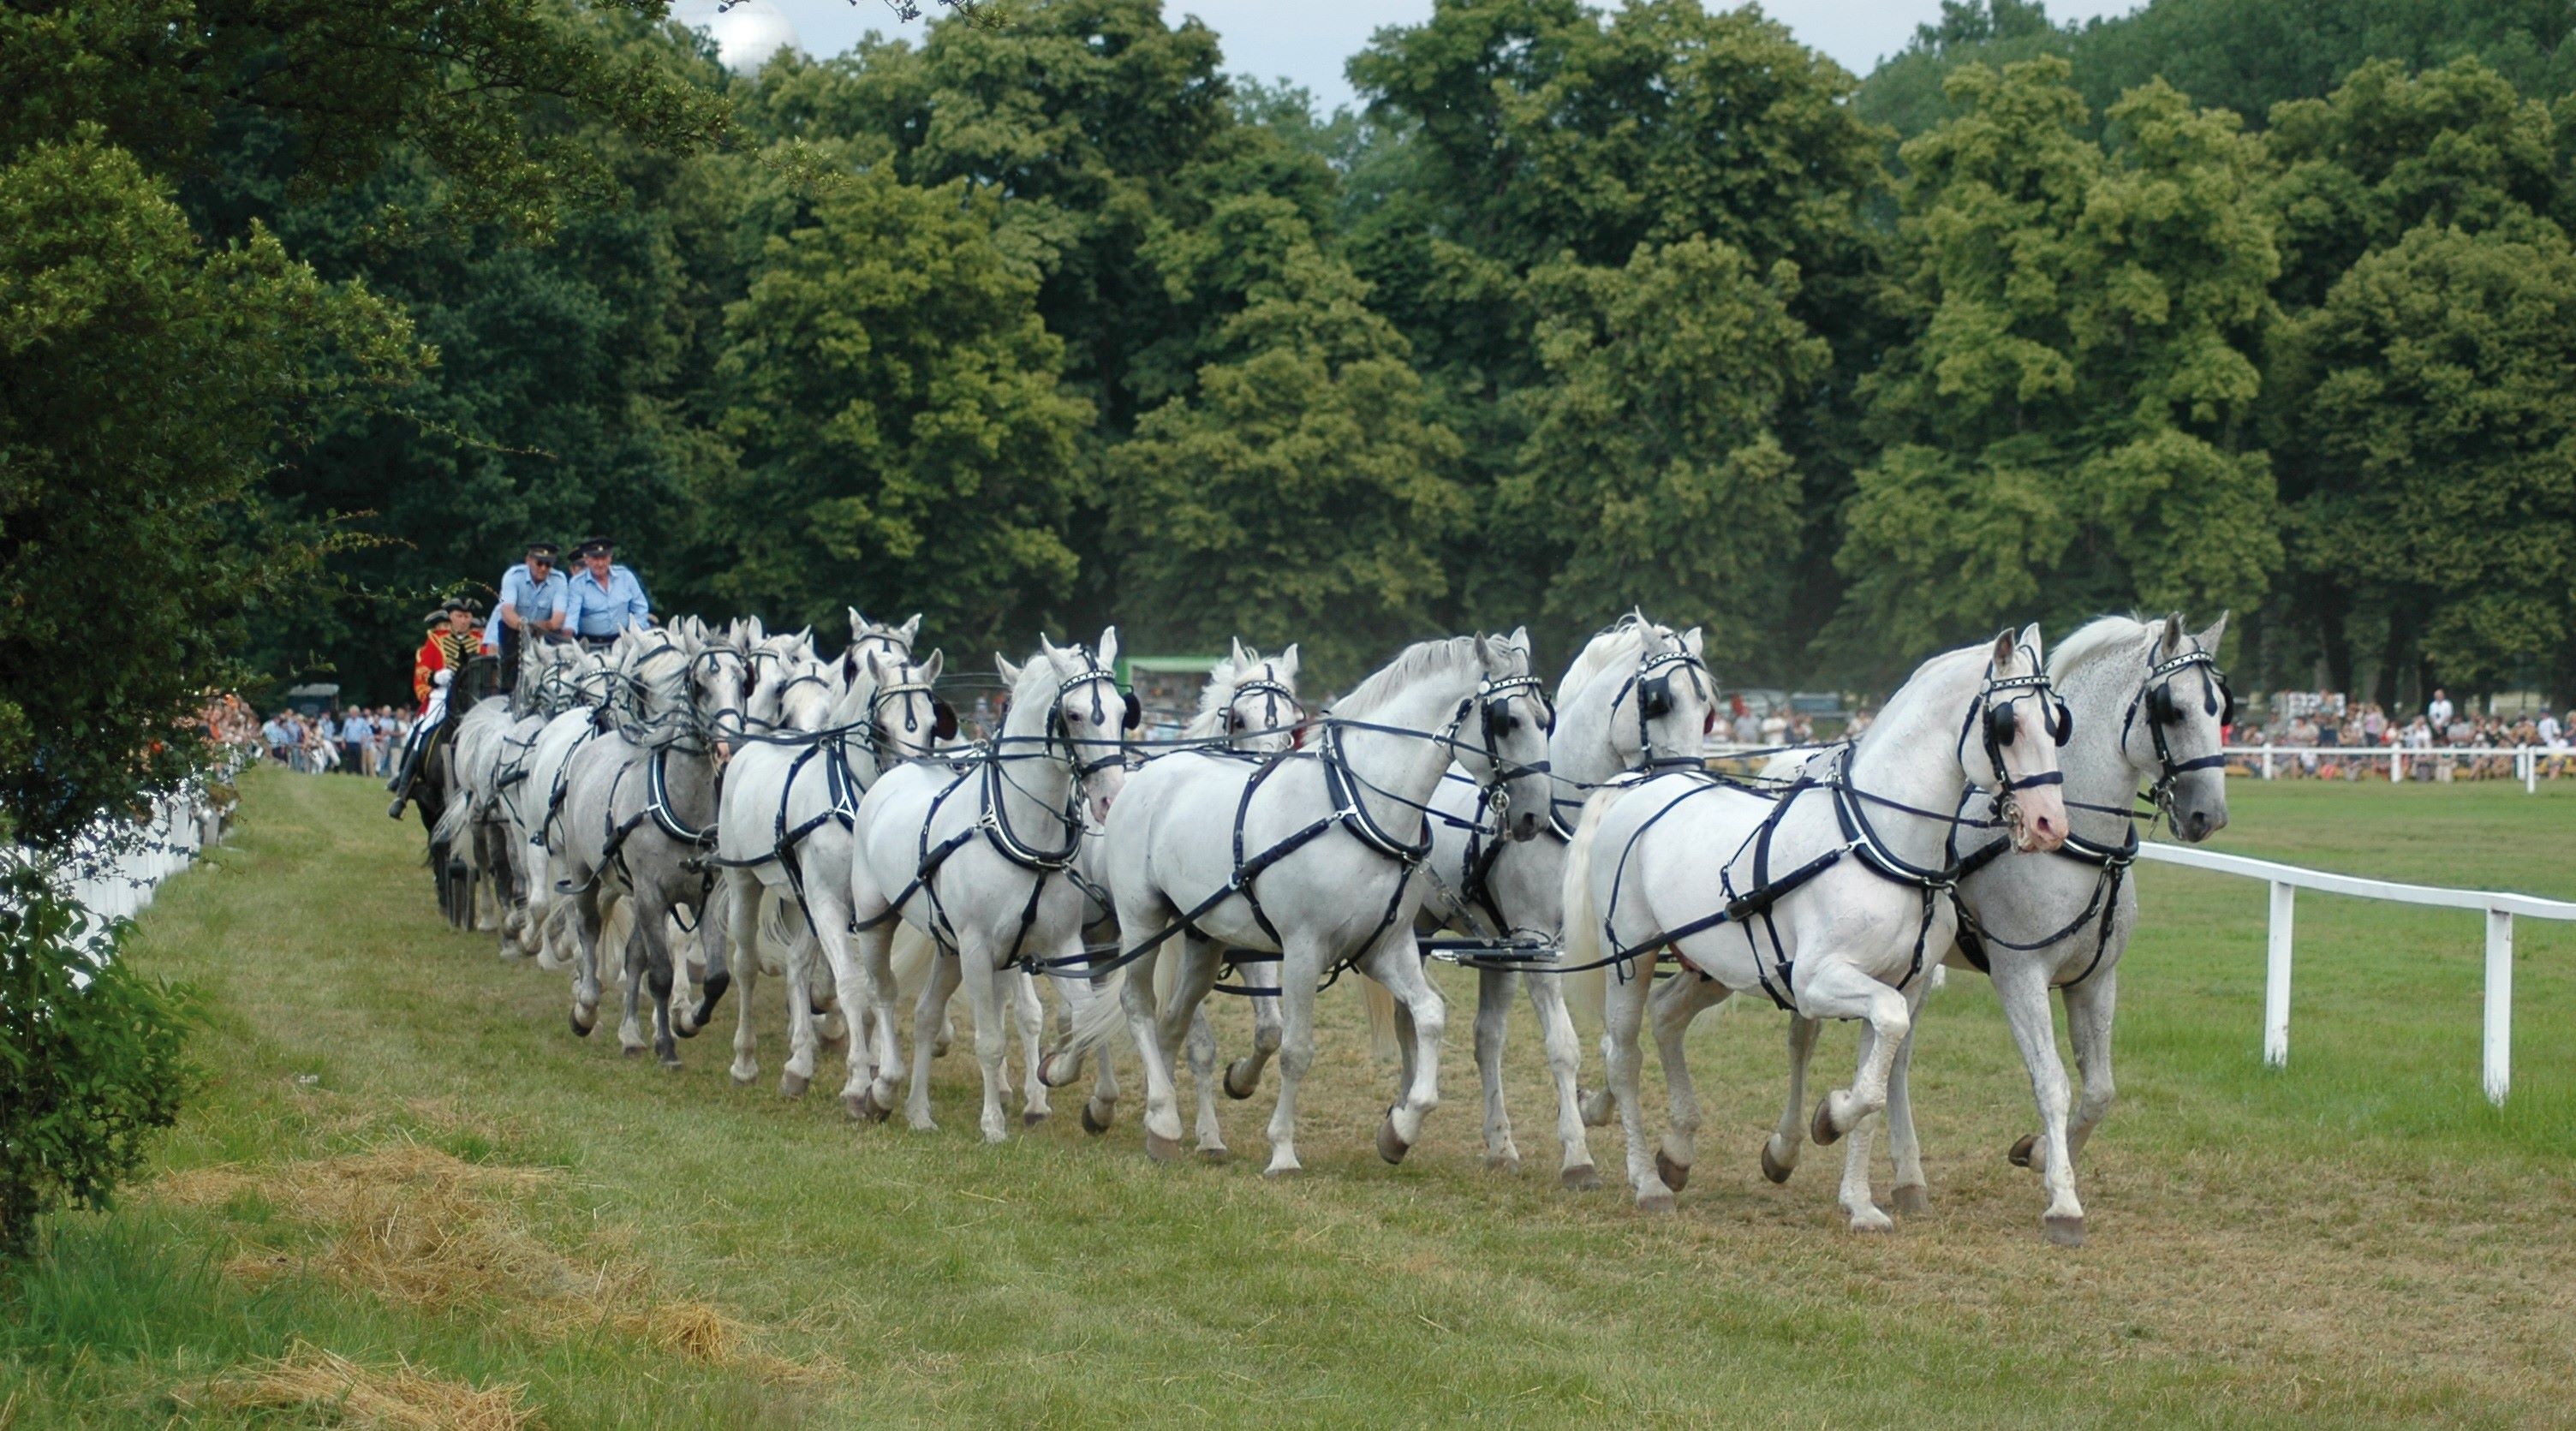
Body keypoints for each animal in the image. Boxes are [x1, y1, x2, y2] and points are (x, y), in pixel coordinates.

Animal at [850, 628, 1133, 1142]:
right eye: (1074, 714)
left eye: (1124, 713)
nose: (1110, 799)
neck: (1021, 831)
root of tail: (900, 770)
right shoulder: (980, 948)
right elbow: (989, 1041)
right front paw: (993, 1124)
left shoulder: (1060, 944)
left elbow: (1084, 1017)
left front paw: (1057, 1074)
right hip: (877, 921)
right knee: (883, 993)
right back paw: (881, 1088)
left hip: (948, 947)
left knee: (925, 1015)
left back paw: (919, 1111)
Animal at [1061, 630, 1545, 1168]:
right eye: (1508, 721)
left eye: (1546, 717)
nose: (1535, 815)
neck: (1357, 809)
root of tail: (1140, 776)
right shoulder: (1302, 949)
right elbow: (1295, 1050)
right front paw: (1283, 1151)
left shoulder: (1385, 947)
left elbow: (1430, 1016)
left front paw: (1400, 1129)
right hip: (1143, 919)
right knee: (1137, 1003)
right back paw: (1159, 1110)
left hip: (1202, 939)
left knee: (1173, 1020)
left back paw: (1161, 1121)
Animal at [1411, 615, 1710, 1184]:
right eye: (1660, 702)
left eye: (1707, 709)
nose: (1693, 780)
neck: (1565, 819)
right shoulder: (1538, 942)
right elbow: (1564, 1048)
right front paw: (1577, 1155)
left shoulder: (1594, 945)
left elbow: (1612, 1041)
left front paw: (1594, 1106)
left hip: (1497, 948)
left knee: (1487, 1038)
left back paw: (1499, 1145)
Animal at [1545, 625, 2071, 1219]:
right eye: (2008, 724)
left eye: (2058, 722)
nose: (2051, 823)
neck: (1878, 841)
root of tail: (1638, 786)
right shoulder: (1818, 980)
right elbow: (1877, 1052)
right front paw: (1829, 1118)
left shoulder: (1899, 987)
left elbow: (1878, 1080)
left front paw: (1859, 1201)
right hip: (1632, 956)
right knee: (1624, 1057)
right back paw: (1646, 1181)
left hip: (1713, 966)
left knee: (1666, 1017)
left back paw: (1676, 1152)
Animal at [1772, 612, 2235, 1240]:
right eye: (2174, 710)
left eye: (2222, 710)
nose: (2209, 814)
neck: (2080, 843)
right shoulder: (2020, 973)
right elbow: (2052, 1080)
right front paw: (2063, 1201)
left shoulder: (2096, 978)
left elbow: (2100, 1089)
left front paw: (2040, 1152)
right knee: (1805, 1038)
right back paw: (1789, 1146)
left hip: (1915, 971)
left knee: (1896, 1064)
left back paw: (1908, 1179)